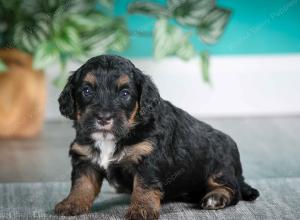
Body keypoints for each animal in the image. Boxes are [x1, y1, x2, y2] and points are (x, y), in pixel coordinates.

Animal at [54, 54, 260, 218]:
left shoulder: (148, 158)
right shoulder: (85, 159)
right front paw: (71, 203)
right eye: (87, 91)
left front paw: (141, 209)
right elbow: (82, 184)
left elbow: (144, 186)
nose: (104, 118)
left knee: (233, 191)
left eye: (125, 93)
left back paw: (216, 197)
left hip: (219, 168)